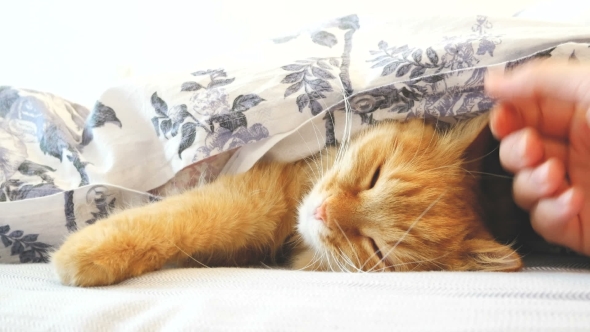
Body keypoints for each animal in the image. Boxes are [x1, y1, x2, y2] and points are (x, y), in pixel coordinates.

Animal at [51, 113, 524, 286]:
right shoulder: (254, 196)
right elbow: (179, 216)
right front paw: (88, 248)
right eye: (374, 177)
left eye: (378, 249)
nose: (323, 212)